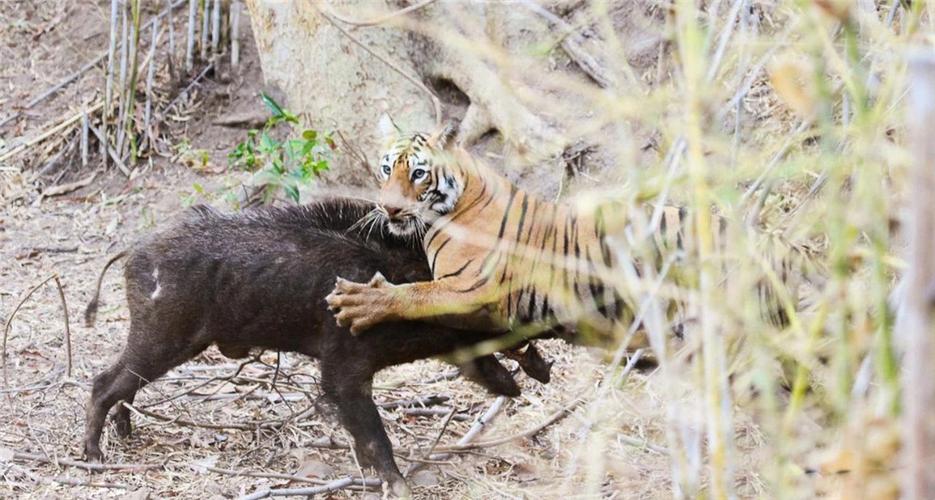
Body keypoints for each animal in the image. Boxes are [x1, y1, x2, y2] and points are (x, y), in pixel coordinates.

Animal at [326, 123, 824, 346]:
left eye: (418, 174)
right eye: (387, 169)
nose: (389, 207)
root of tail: (784, 245)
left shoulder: (472, 289)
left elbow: (413, 294)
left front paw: (361, 302)